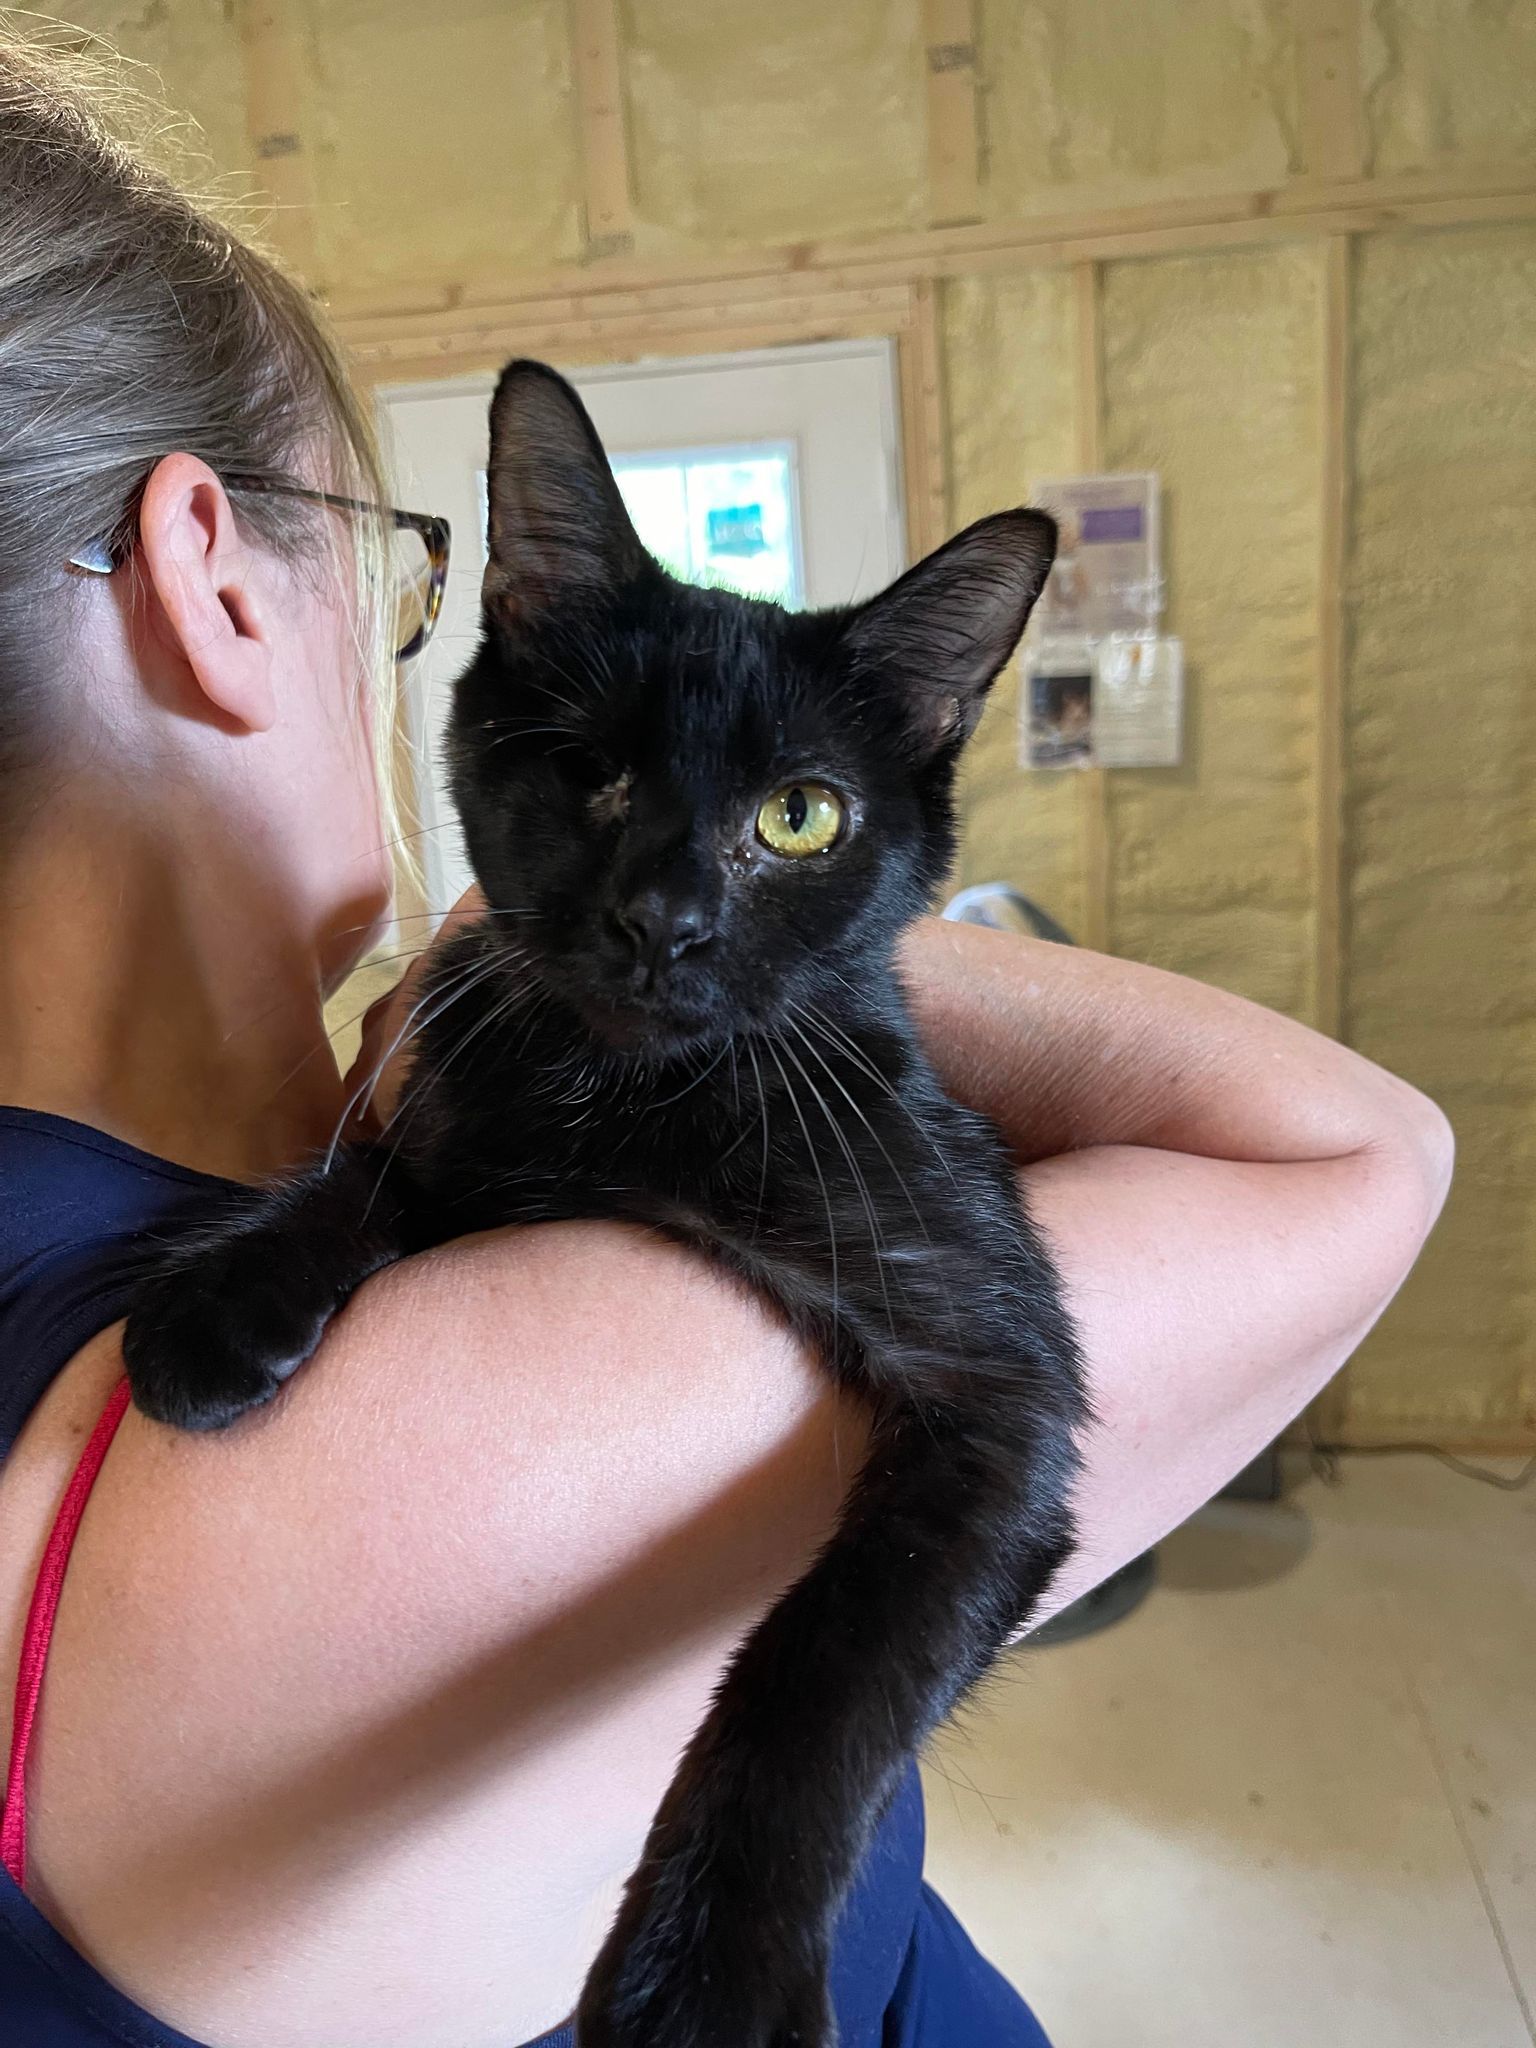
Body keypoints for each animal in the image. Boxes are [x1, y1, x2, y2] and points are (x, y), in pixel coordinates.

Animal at [126, 368, 1097, 2048]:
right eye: (594, 771)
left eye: (800, 816)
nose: (664, 921)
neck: (629, 1105)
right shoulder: (462, 1109)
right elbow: (377, 1172)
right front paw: (222, 1300)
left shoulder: (998, 1382)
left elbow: (826, 1671)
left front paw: (704, 1977)